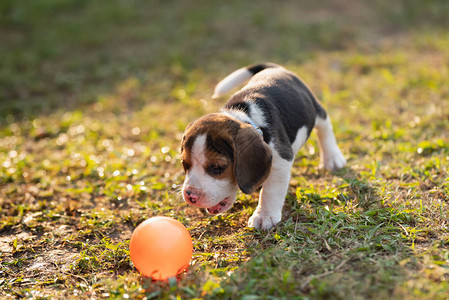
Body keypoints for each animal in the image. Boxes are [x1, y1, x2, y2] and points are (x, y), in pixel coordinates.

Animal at [180, 62, 344, 229]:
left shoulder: (281, 160)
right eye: (185, 164)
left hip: (315, 110)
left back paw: (332, 158)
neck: (247, 118)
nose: (190, 195)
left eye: (217, 168)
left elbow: (270, 191)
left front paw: (264, 216)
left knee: (324, 126)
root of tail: (276, 68)